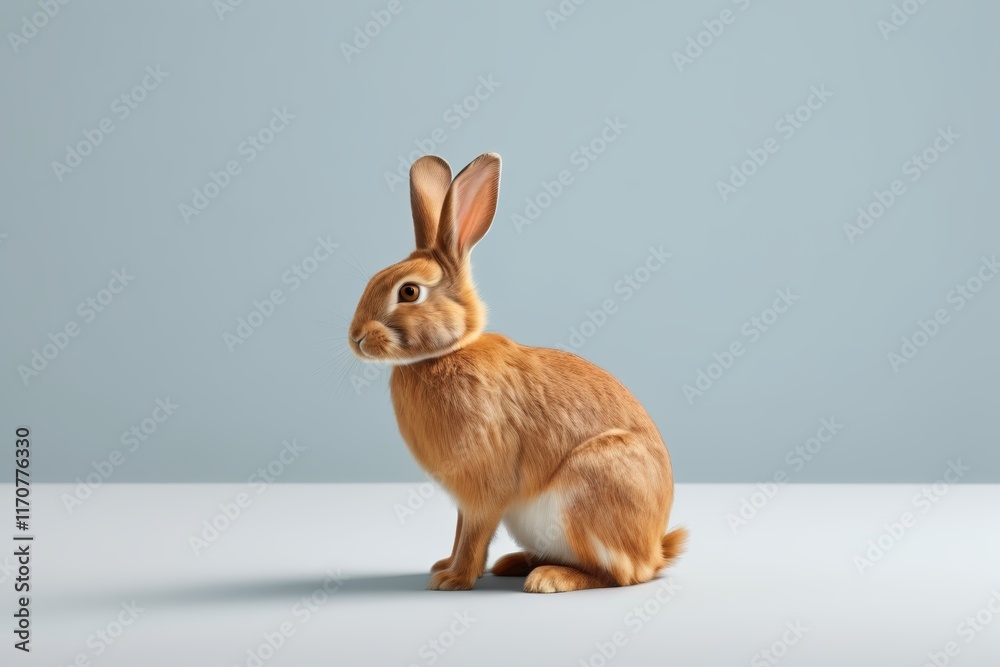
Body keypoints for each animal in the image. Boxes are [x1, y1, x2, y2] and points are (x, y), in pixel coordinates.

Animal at [348, 152, 686, 593]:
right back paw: (516, 563)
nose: (355, 338)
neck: (447, 353)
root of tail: (655, 550)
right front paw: (445, 566)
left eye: (409, 291)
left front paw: (453, 579)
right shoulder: (467, 501)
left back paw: (549, 579)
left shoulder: (484, 490)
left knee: (618, 574)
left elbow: (473, 535)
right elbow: (460, 532)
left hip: (589, 492)